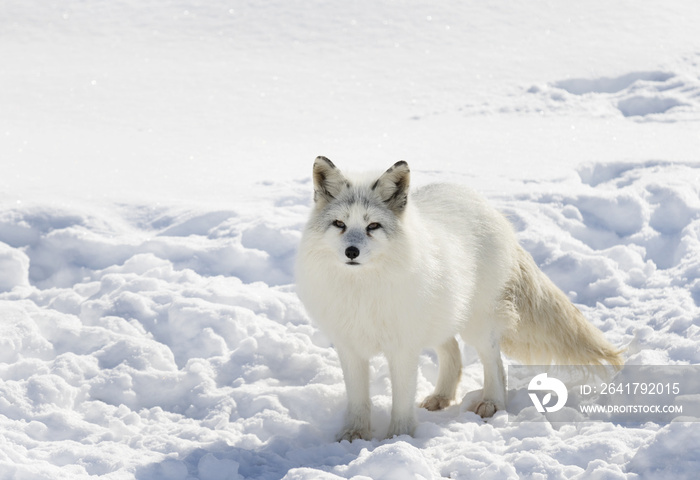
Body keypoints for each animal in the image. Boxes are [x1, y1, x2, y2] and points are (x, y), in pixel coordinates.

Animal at [296, 156, 624, 440]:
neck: (362, 292)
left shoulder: (402, 348)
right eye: (339, 224)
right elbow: (358, 400)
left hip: (477, 324)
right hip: (441, 318)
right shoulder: (350, 346)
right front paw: (353, 436)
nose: (351, 252)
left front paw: (397, 438)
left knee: (495, 363)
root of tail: (483, 203)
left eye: (372, 226)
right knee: (453, 352)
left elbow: (401, 399)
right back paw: (442, 397)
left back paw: (492, 403)